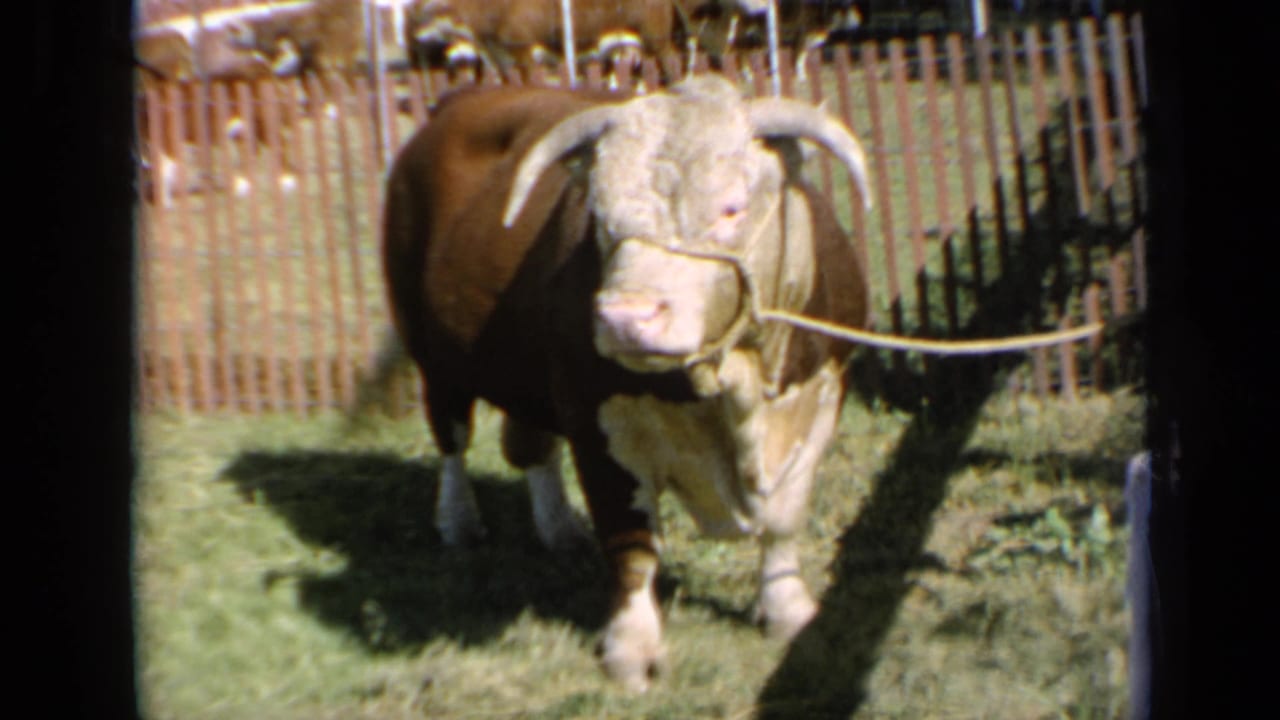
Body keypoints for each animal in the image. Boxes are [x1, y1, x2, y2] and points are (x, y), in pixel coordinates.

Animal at [381, 73, 871, 690]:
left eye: (731, 208)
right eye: (602, 216)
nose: (623, 317)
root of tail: (465, 98)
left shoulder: (821, 398)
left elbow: (784, 519)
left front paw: (788, 610)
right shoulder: (597, 425)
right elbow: (632, 543)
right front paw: (631, 648)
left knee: (529, 444)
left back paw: (559, 528)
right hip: (433, 356)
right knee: (452, 441)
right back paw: (459, 522)